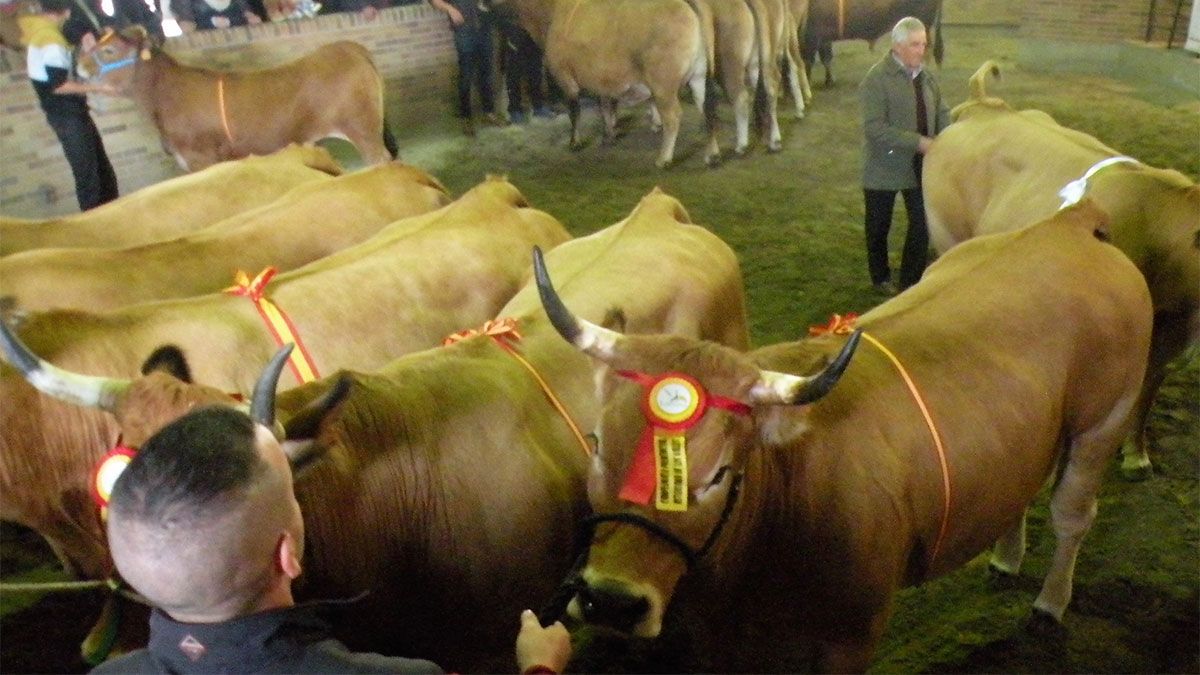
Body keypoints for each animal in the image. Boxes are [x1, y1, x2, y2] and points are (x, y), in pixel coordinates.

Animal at [537, 199, 1152, 667]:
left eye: (717, 475)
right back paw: (1005, 560)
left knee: (1072, 513)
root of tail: (1069, 222)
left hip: (1105, 418)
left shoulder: (851, 637)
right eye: (597, 447)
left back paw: (1049, 604)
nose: (610, 601)